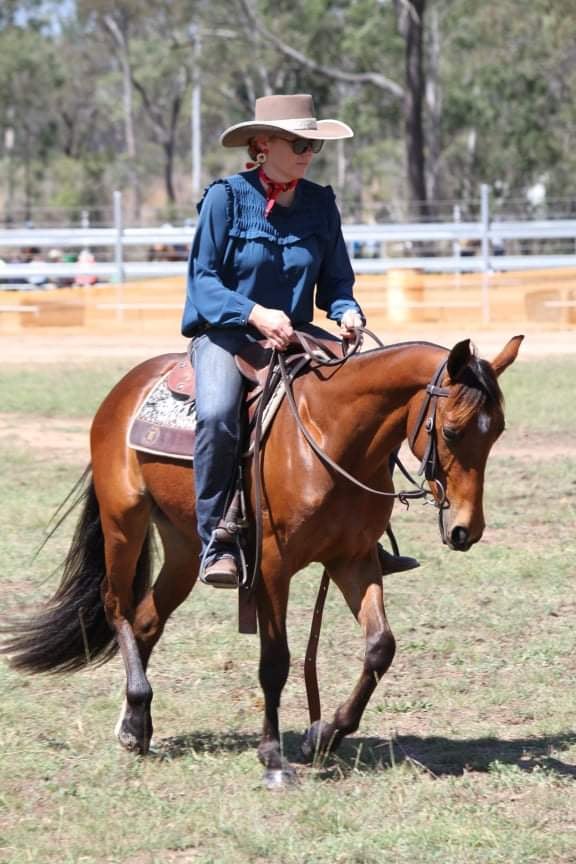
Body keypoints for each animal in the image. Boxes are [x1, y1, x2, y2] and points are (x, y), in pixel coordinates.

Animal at [1, 333, 523, 786]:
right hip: (122, 521)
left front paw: (322, 736)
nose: (466, 529)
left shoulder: (353, 560)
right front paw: (273, 758)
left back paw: (135, 725)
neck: (331, 437)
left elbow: (380, 647)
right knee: (117, 606)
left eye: (497, 431)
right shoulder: (273, 566)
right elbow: (276, 661)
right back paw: (135, 709)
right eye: (451, 431)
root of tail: (125, 387)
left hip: (186, 548)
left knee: (148, 618)